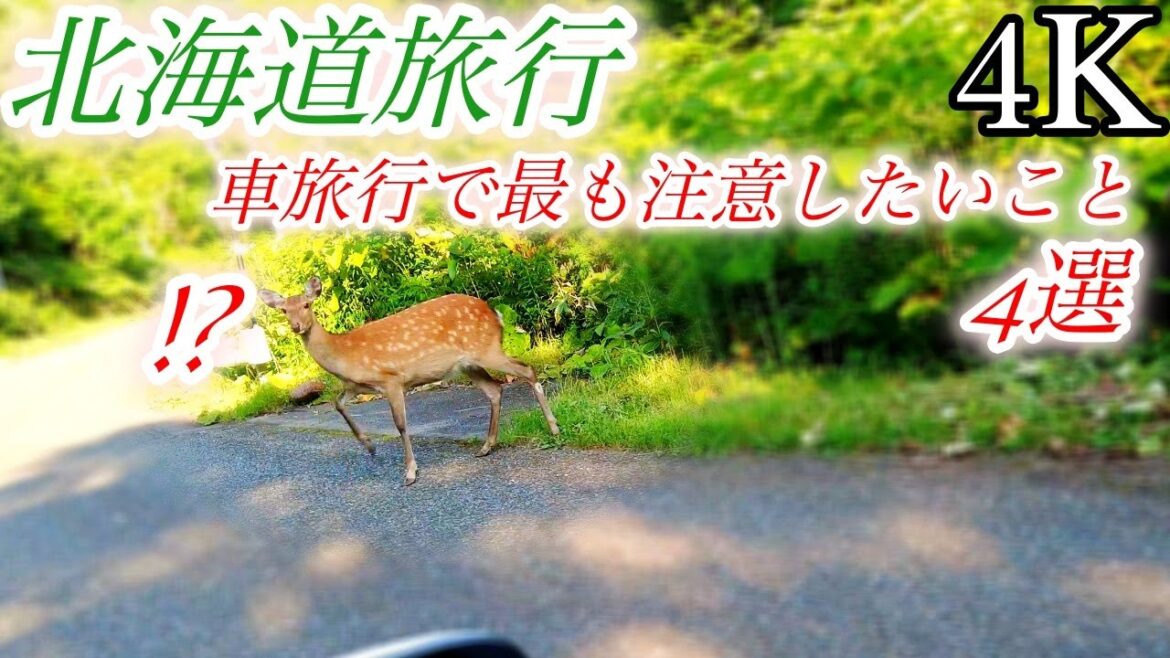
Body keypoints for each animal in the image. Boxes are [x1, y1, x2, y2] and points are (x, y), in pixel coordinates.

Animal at [259, 276, 560, 486]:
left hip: (486, 350)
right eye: (284, 310)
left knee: (527, 370)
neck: (345, 354)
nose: (297, 326)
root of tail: (495, 313)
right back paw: (486, 446)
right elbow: (338, 404)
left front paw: (410, 472)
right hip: (468, 364)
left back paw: (554, 428)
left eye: (307, 304)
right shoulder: (357, 386)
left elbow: (401, 425)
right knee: (495, 389)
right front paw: (369, 446)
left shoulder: (391, 379)